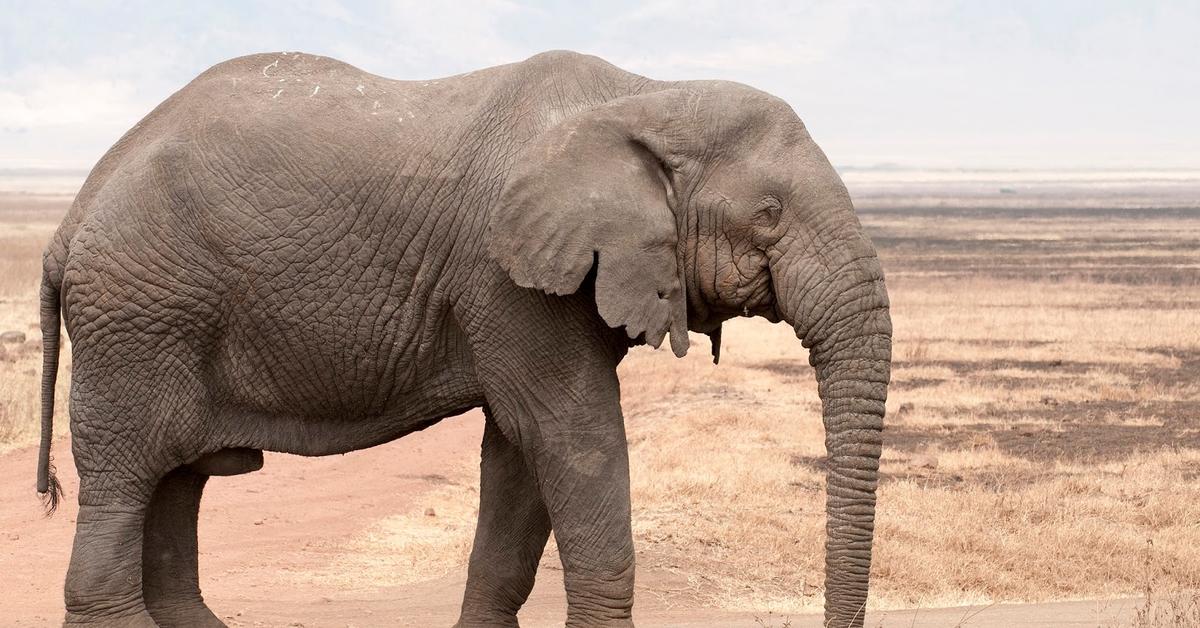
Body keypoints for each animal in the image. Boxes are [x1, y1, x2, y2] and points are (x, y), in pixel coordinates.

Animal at [35, 50, 892, 628]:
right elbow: (571, 435)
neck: (645, 95)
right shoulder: (507, 275)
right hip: (138, 314)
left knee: (176, 477)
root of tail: (71, 220)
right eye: (769, 215)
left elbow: (519, 456)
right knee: (128, 473)